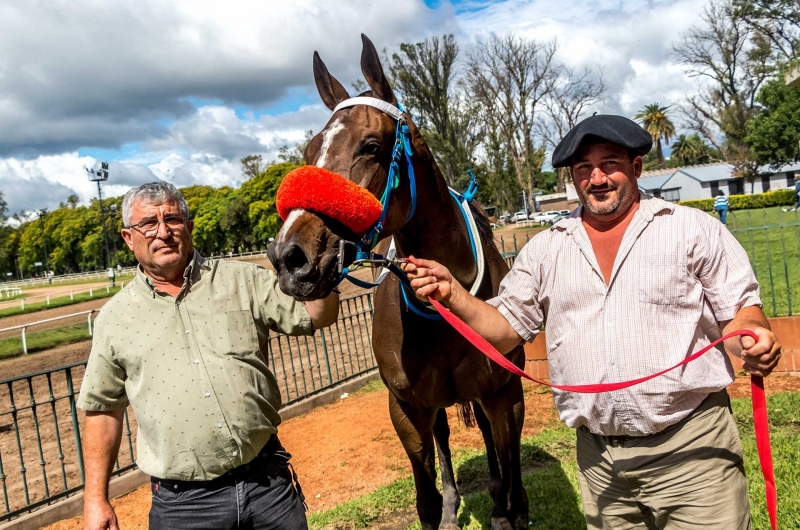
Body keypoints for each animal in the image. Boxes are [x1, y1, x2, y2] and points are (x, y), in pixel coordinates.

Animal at [268, 35, 532, 524]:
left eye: (371, 145)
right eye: (309, 153)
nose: (288, 257)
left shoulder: (506, 394)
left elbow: (513, 488)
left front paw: (504, 505)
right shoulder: (406, 408)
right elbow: (424, 501)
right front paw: (443, 508)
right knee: (443, 438)